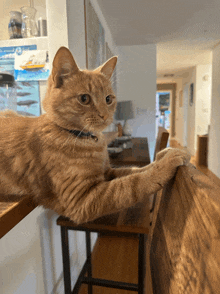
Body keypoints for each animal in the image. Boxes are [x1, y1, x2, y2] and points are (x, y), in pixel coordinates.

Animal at [0, 47, 189, 224]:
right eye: (84, 98)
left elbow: (135, 170)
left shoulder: (107, 172)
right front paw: (166, 165)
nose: (105, 116)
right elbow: (132, 184)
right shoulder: (82, 199)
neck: (88, 139)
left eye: (108, 99)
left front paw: (163, 156)